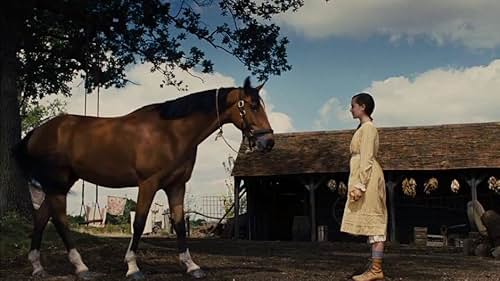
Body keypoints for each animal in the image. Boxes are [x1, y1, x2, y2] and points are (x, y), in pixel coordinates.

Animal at [12, 76, 274, 278]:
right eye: (252, 106)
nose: (268, 141)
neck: (171, 133)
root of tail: (38, 132)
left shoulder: (176, 186)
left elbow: (179, 225)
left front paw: (191, 266)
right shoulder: (148, 184)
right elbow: (138, 223)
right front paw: (132, 267)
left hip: (62, 184)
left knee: (42, 217)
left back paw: (38, 267)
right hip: (57, 183)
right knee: (59, 220)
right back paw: (81, 268)